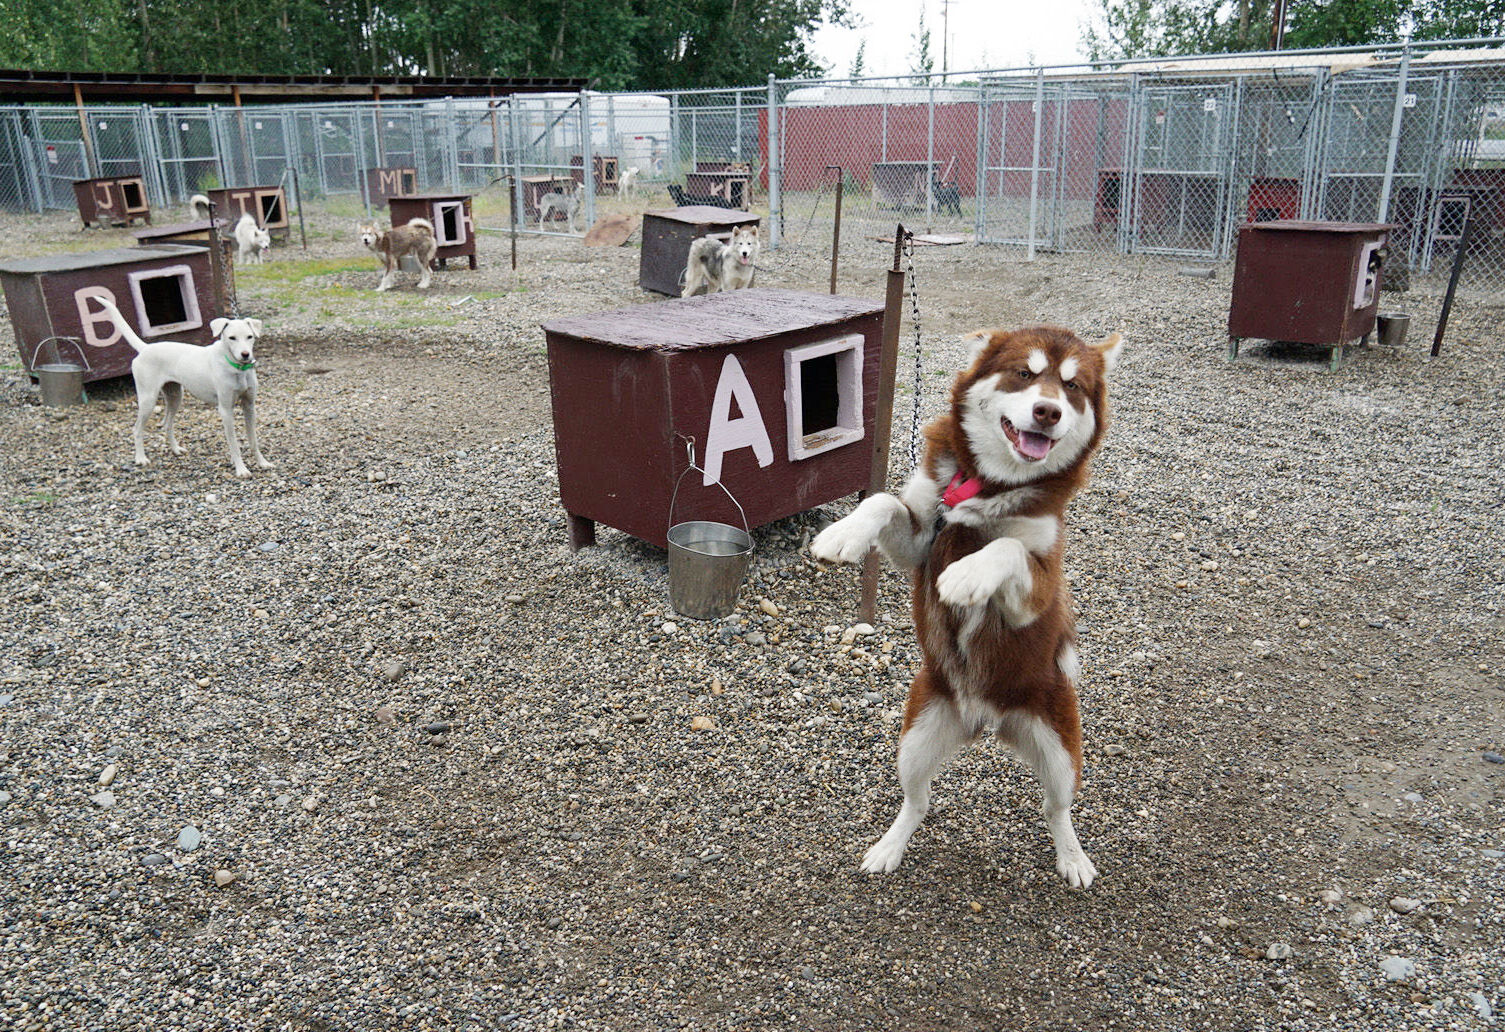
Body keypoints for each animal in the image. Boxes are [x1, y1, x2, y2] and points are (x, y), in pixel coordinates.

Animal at [91, 297, 273, 478]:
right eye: (232, 338)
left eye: (249, 337)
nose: (245, 354)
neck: (236, 368)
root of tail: (145, 348)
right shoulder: (226, 411)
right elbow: (234, 444)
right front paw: (241, 469)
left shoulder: (249, 406)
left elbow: (253, 440)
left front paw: (262, 462)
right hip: (148, 400)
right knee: (136, 429)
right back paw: (141, 458)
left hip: (175, 396)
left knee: (167, 424)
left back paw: (176, 449)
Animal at [812, 329, 1119, 890]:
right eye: (1024, 374)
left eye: (1072, 387)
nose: (1047, 412)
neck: (990, 484)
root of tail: (987, 720)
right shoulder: (919, 540)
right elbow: (882, 501)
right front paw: (844, 533)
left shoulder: (1039, 590)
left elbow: (1007, 548)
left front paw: (969, 574)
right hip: (915, 739)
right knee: (918, 802)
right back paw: (889, 847)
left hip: (1061, 751)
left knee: (1056, 808)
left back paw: (1072, 857)